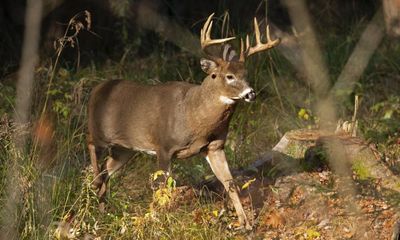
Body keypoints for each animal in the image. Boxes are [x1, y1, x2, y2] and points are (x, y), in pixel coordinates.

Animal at [88, 12, 278, 229]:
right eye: (229, 76)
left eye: (245, 74)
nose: (251, 93)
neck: (193, 117)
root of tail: (96, 89)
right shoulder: (163, 146)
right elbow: (162, 187)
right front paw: (158, 221)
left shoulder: (215, 146)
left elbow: (229, 182)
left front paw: (245, 223)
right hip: (99, 131)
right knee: (91, 146)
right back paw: (95, 188)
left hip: (125, 149)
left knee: (106, 170)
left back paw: (101, 211)